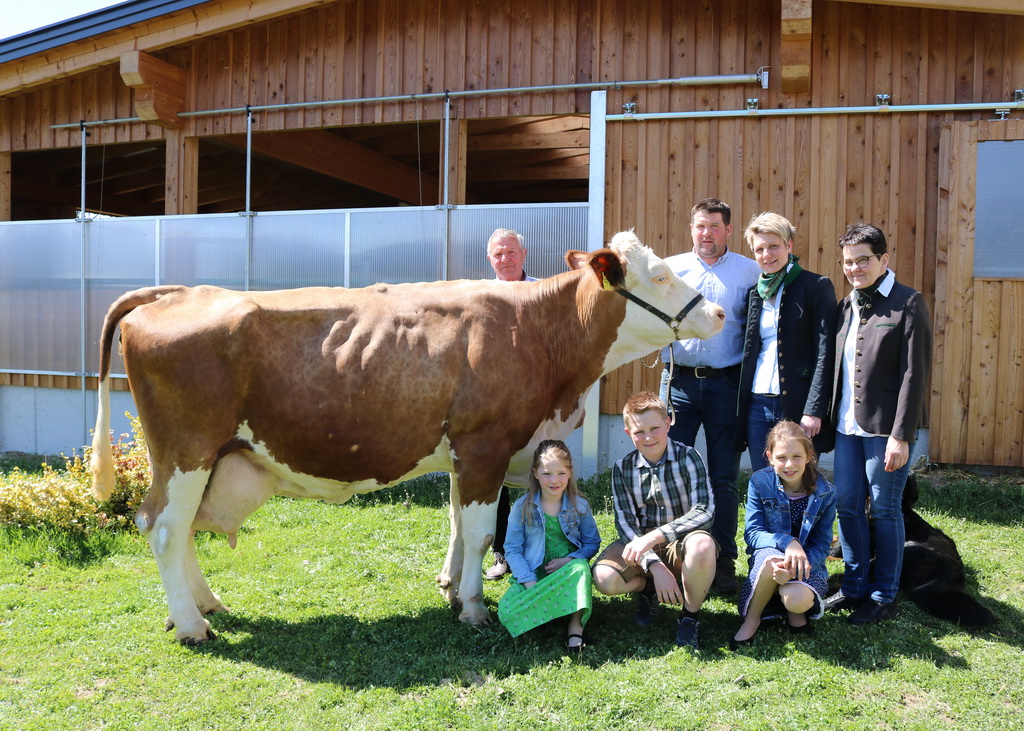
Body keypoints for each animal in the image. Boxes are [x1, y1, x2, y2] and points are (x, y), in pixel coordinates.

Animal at [92, 230, 724, 638]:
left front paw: (449, 588)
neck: (537, 335)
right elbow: (479, 533)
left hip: (206, 459)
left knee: (179, 530)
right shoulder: (484, 444)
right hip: (186, 451)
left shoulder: (467, 453)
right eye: (661, 274)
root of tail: (177, 291)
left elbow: (457, 524)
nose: (717, 313)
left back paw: (204, 605)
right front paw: (472, 607)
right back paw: (192, 625)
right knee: (164, 527)